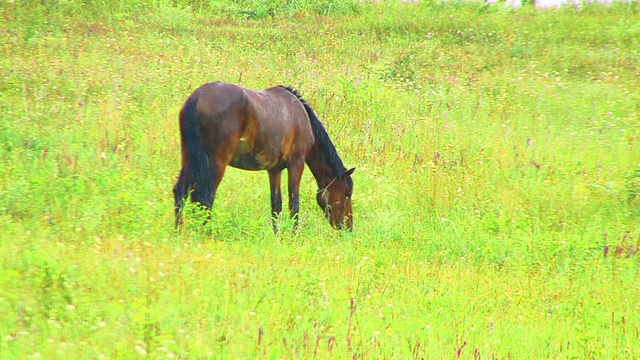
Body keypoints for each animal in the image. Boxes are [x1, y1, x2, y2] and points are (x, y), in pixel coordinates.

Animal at [174, 81, 356, 231]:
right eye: (347, 193)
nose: (348, 227)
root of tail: (196, 97)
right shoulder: (296, 164)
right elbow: (294, 204)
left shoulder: (274, 170)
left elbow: (276, 206)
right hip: (216, 163)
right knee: (206, 197)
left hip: (190, 159)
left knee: (181, 191)